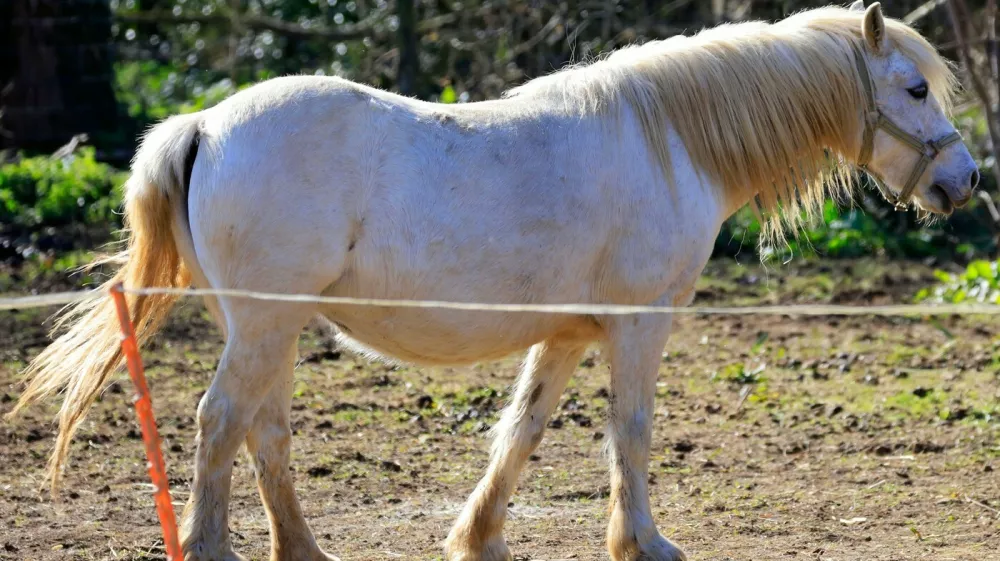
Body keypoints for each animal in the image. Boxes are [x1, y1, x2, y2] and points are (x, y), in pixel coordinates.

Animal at [9, 2, 978, 560]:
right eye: (914, 87)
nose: (964, 180)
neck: (669, 139)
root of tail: (205, 123)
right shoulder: (639, 326)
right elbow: (631, 433)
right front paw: (646, 542)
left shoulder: (567, 335)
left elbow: (520, 433)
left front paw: (479, 537)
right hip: (261, 326)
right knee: (221, 424)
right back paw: (217, 548)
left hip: (269, 330)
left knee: (264, 432)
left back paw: (305, 549)